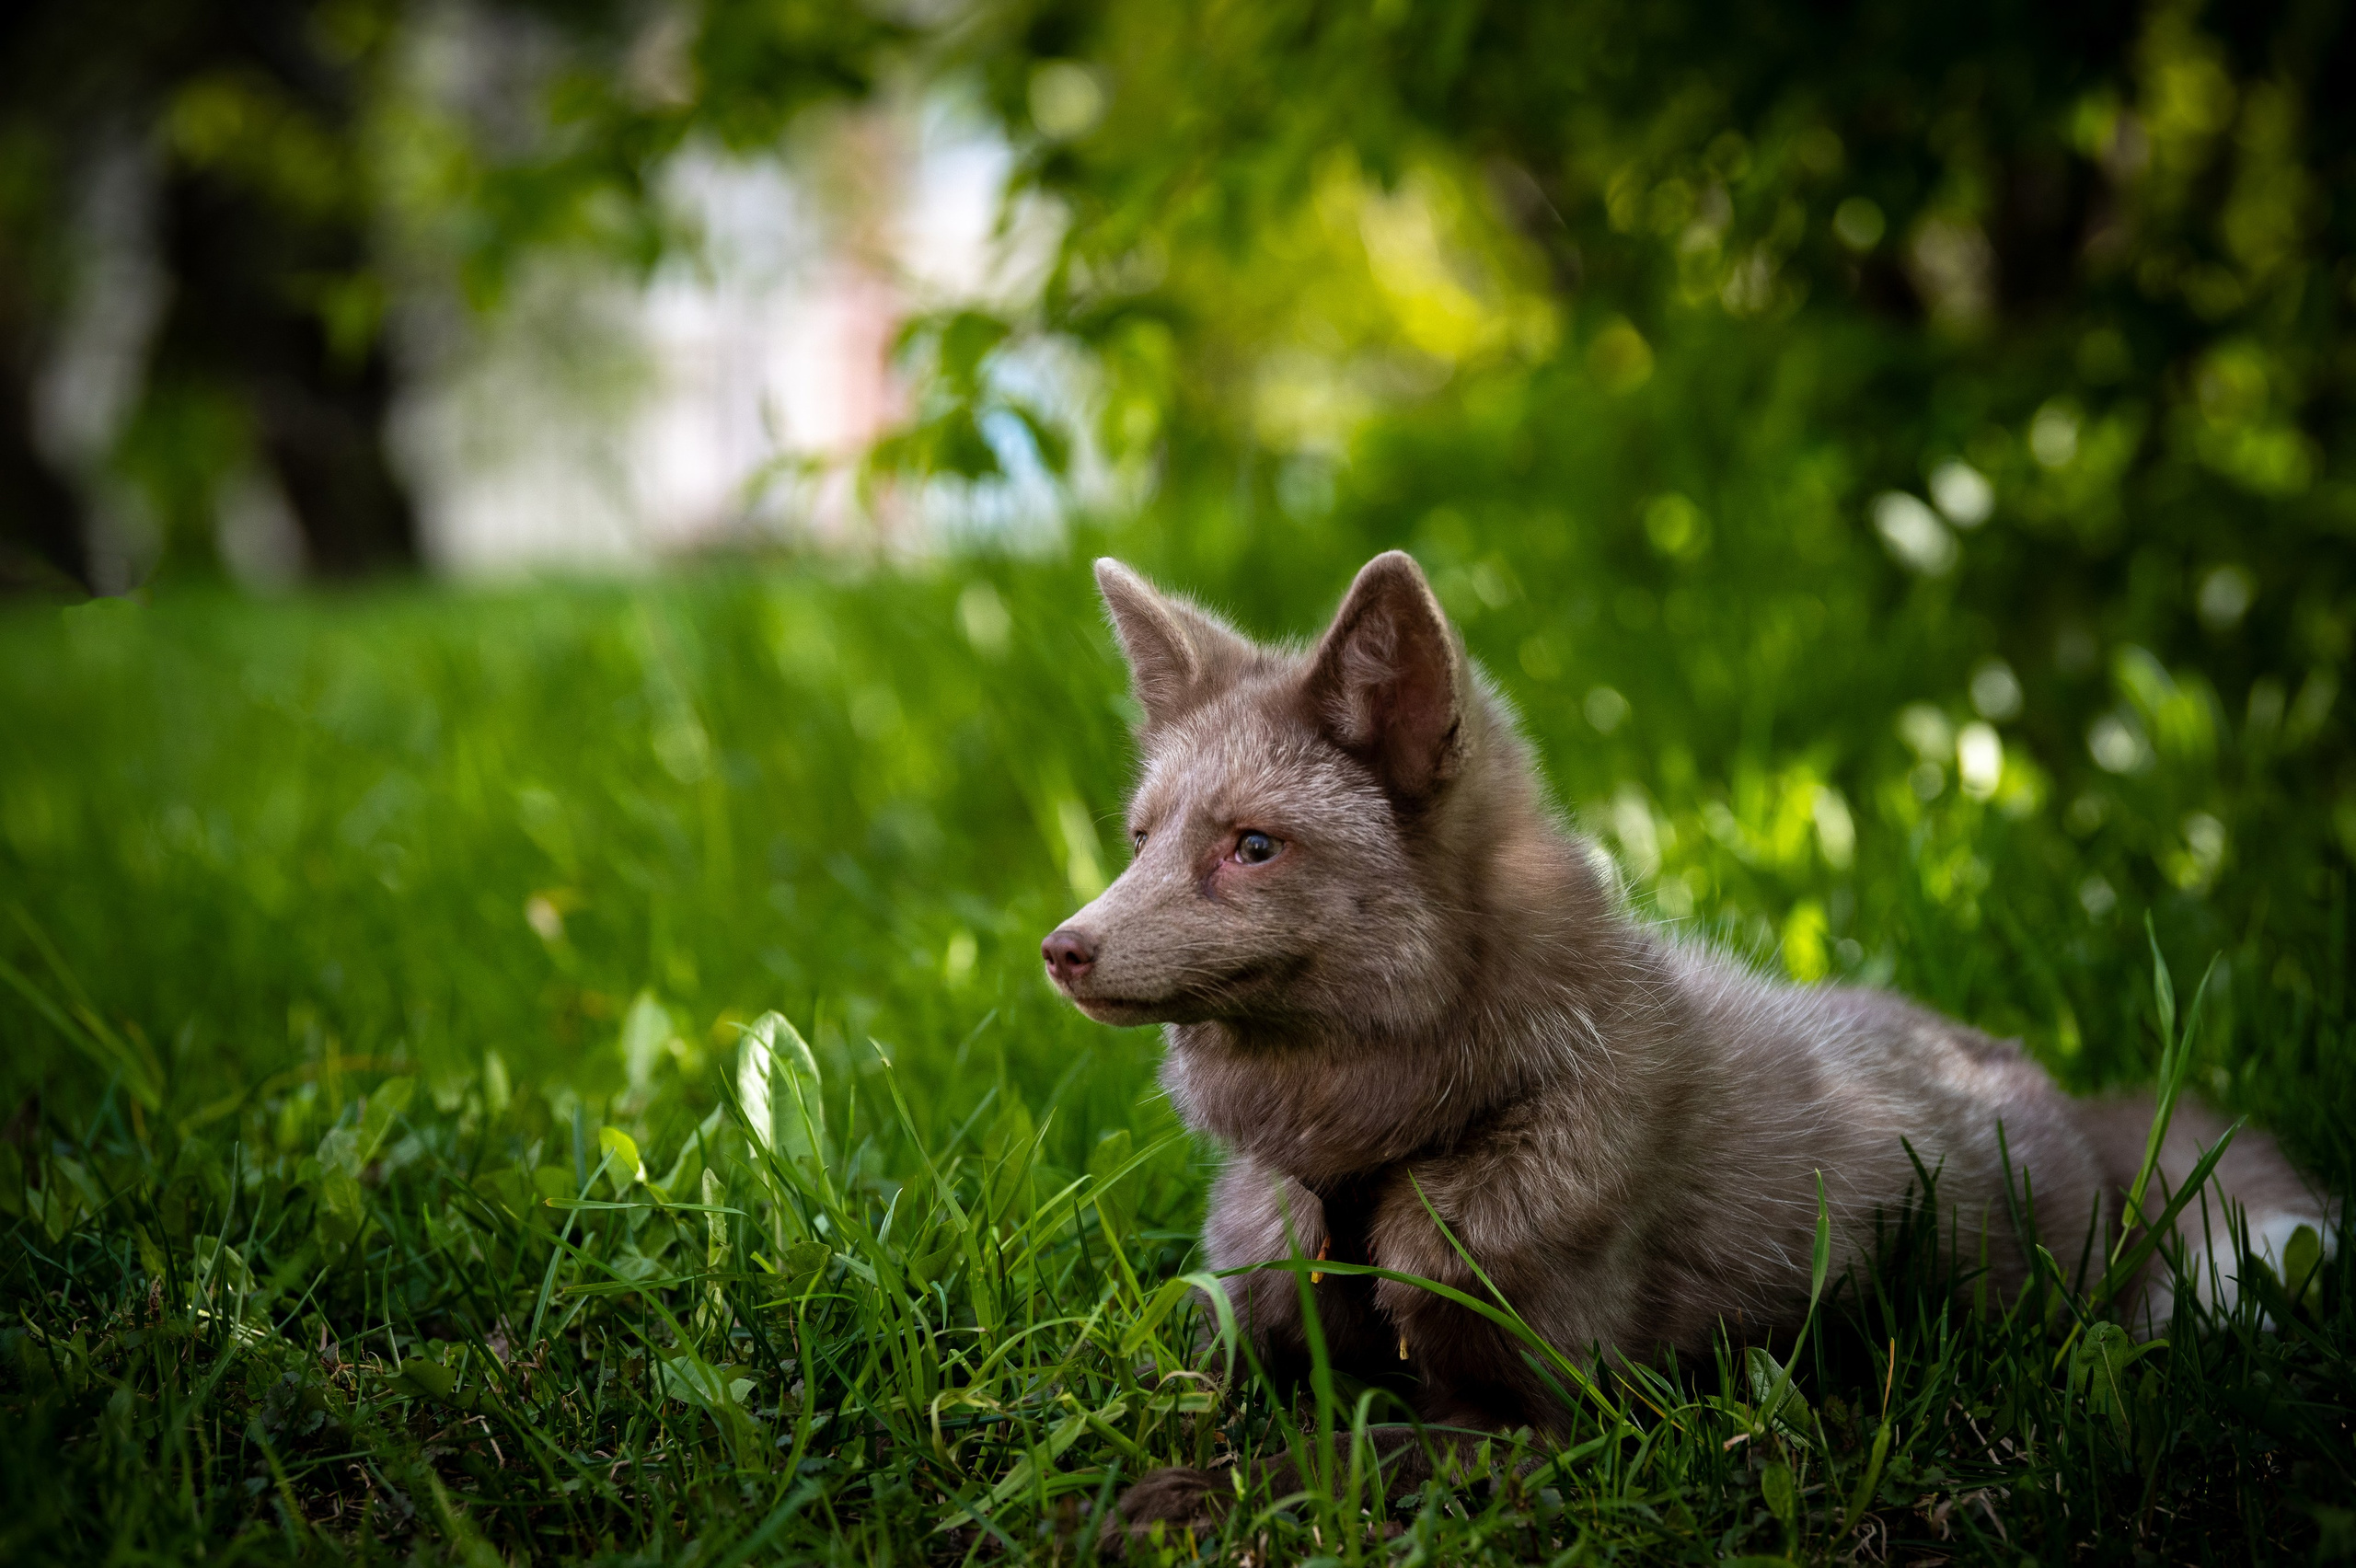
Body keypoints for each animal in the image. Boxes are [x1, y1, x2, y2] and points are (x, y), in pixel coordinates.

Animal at [1041, 550, 2338, 1532]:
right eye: (1143, 838)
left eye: (1251, 848)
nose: (1062, 951)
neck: (1383, 1156)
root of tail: (2060, 1089)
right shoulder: (1241, 1328)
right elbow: (1159, 1395)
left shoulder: (1553, 1420)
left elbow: (1331, 1457)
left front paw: (1164, 1501)